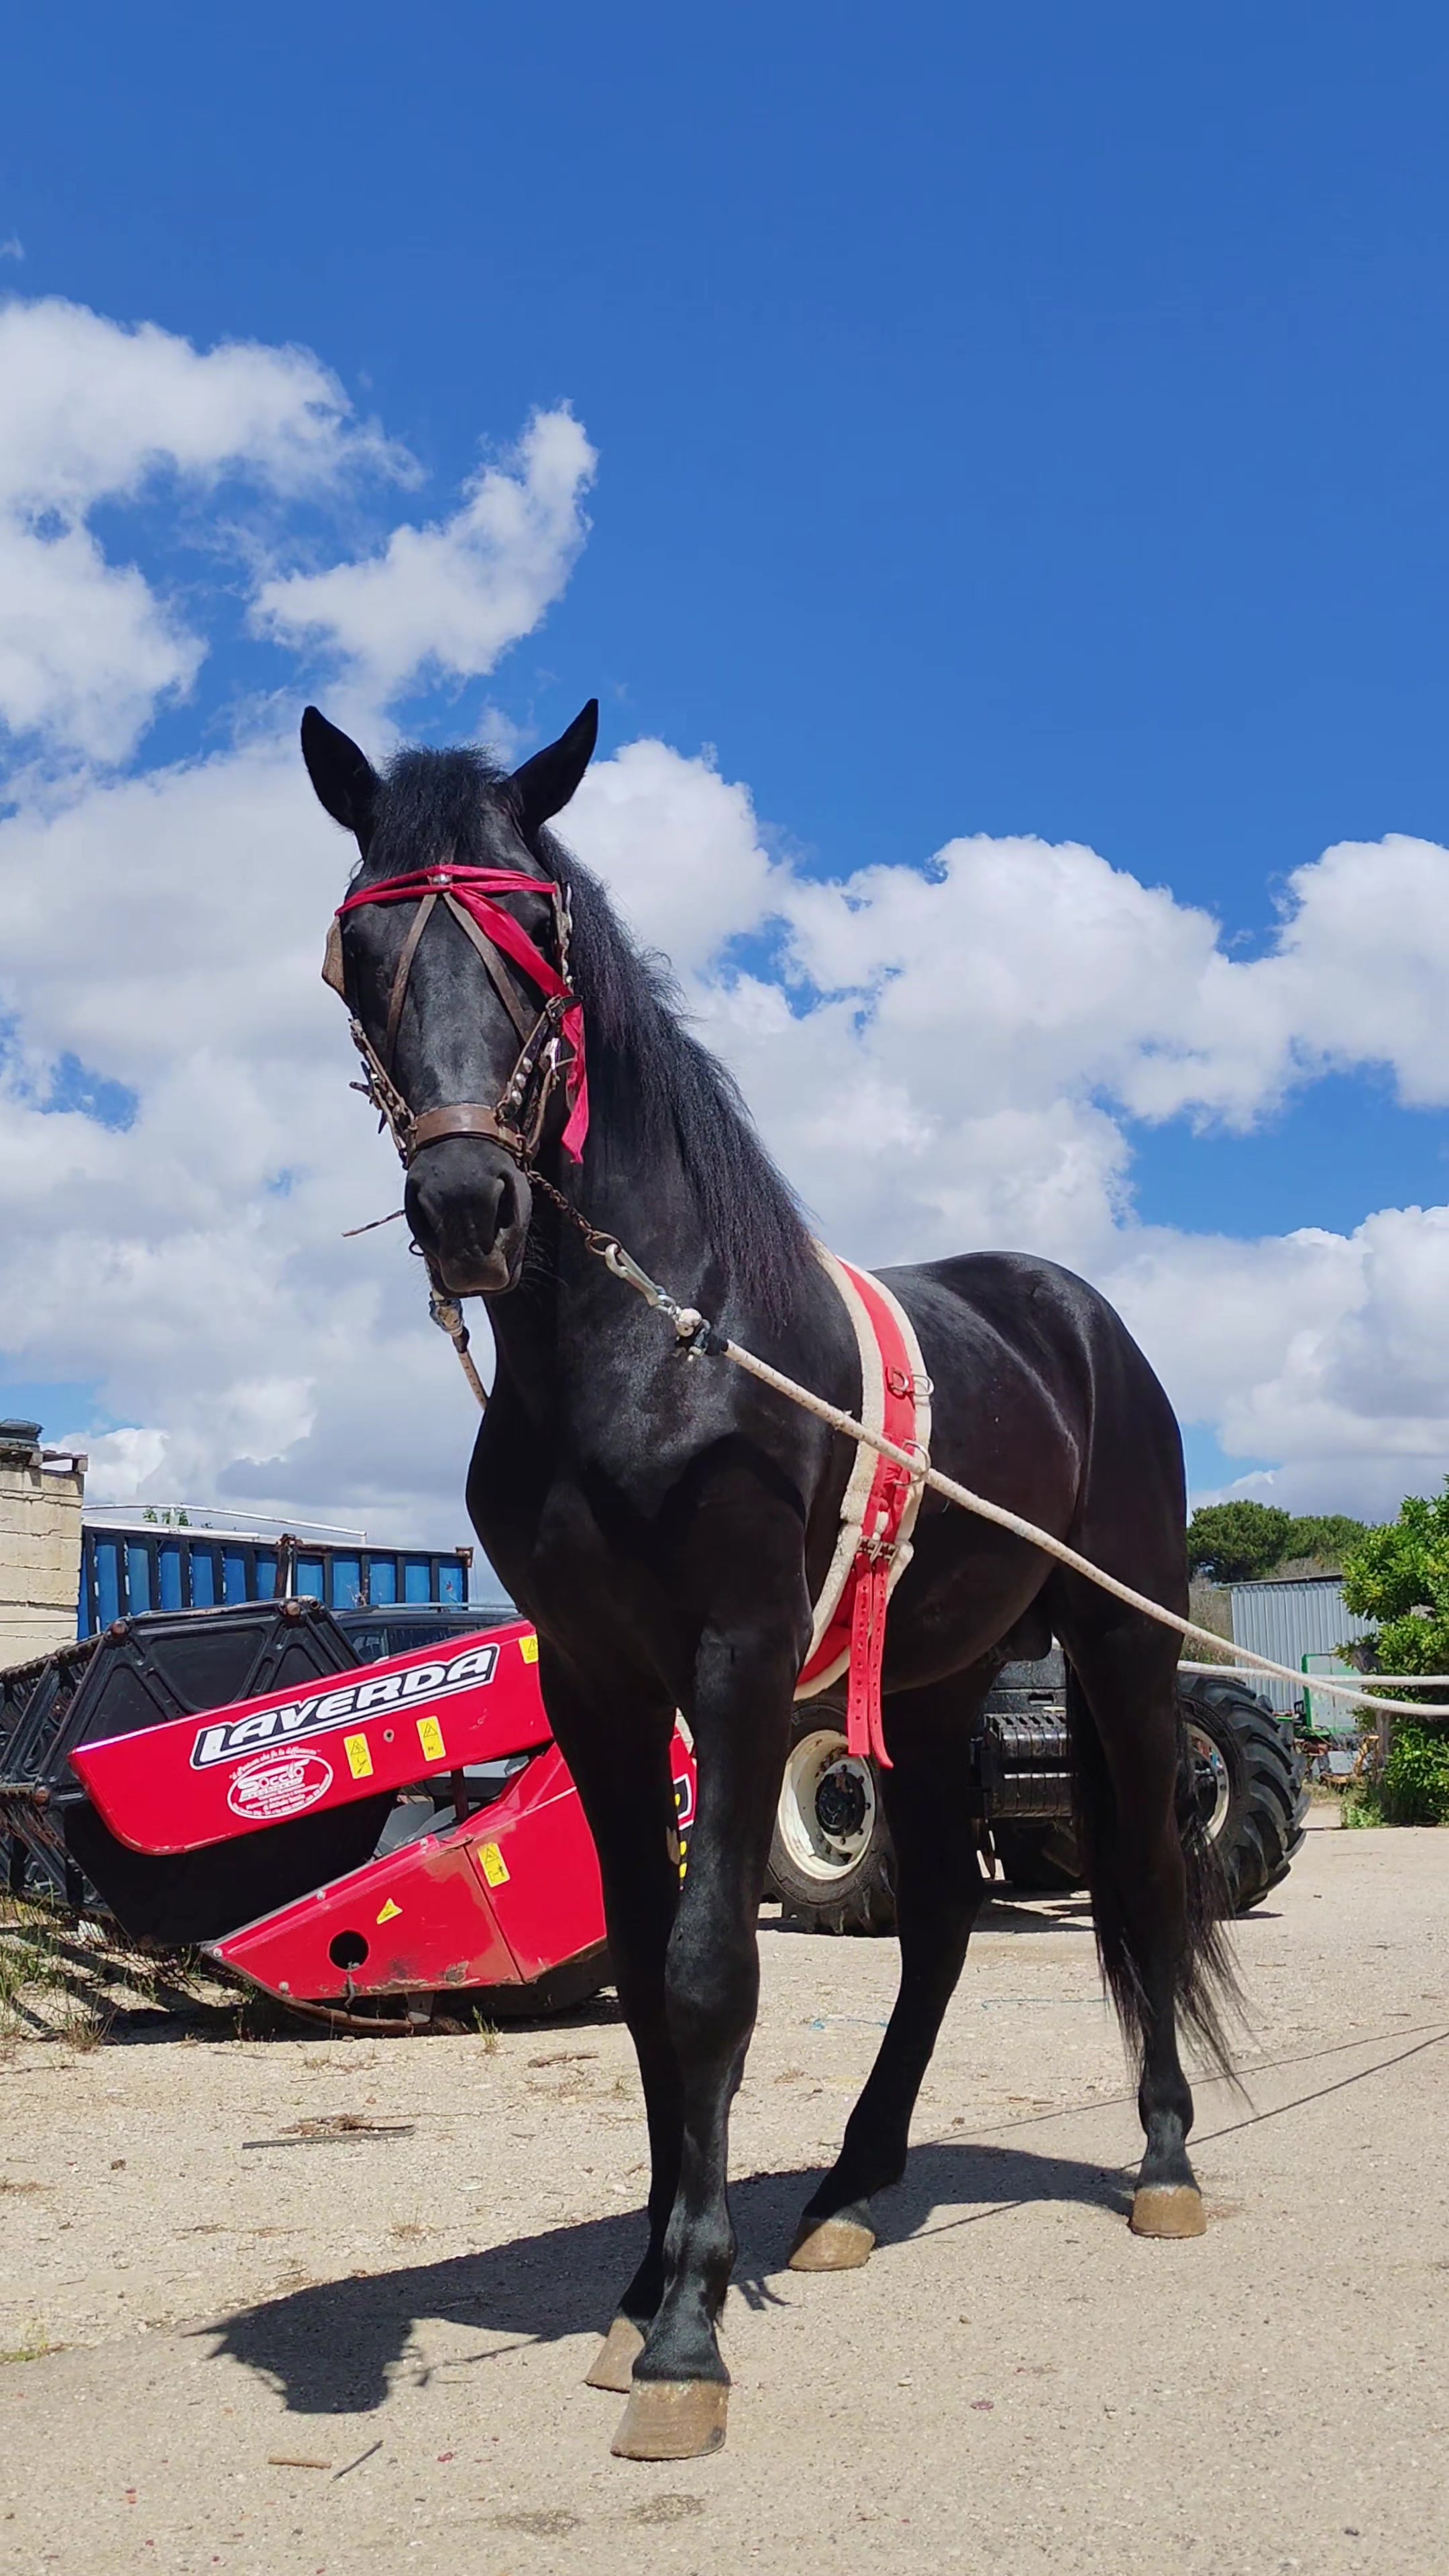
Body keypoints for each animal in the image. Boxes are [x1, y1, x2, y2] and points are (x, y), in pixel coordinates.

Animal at [302, 699, 1234, 2462]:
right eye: (357, 946)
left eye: (537, 938)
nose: (466, 1206)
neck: (651, 1346)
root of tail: (1079, 1315)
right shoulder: (597, 1680)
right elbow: (640, 1969)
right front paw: (641, 2291)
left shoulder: (732, 1661)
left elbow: (705, 1970)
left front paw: (684, 2334)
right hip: (933, 1685)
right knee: (938, 1925)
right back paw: (855, 2190)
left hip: (1120, 1656)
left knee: (1147, 1878)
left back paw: (1161, 2162)